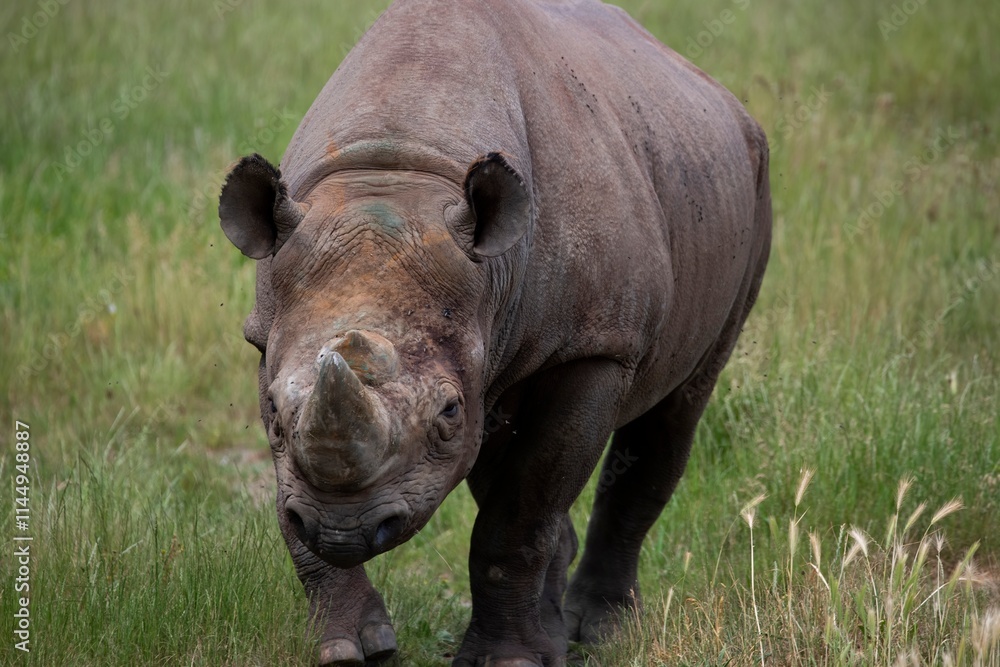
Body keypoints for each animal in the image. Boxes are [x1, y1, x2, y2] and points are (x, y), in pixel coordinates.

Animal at [219, 0, 771, 664]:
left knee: (678, 406)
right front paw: (348, 648)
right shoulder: (270, 334)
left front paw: (507, 660)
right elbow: (291, 506)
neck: (400, 169)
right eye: (275, 411)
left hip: (748, 191)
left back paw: (602, 632)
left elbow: (522, 510)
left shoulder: (595, 348)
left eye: (449, 412)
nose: (345, 528)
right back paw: (554, 637)